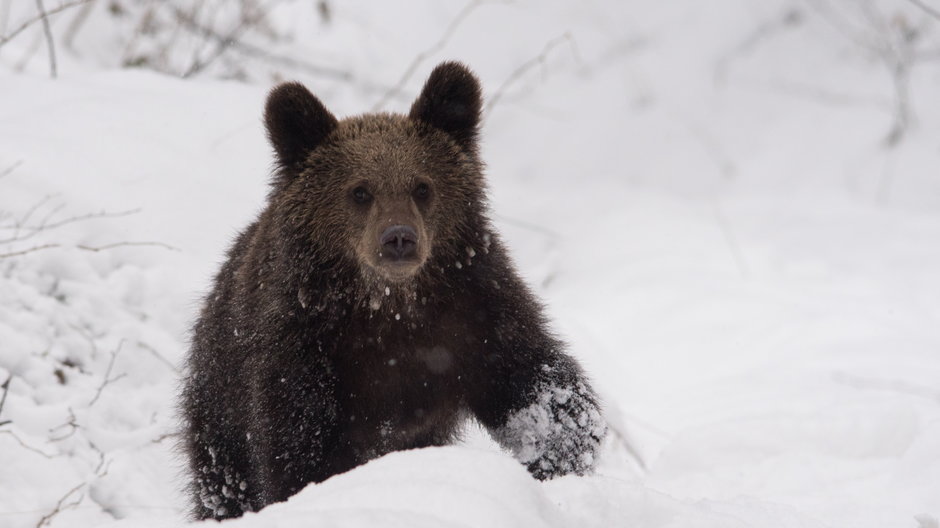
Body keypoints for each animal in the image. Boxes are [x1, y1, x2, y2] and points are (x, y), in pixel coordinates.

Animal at [180, 62, 604, 520]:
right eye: (360, 191)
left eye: (422, 186)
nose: (398, 238)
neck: (391, 305)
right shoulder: (303, 343)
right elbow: (297, 445)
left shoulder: (477, 311)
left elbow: (537, 387)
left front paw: (563, 462)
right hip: (219, 403)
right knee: (225, 482)